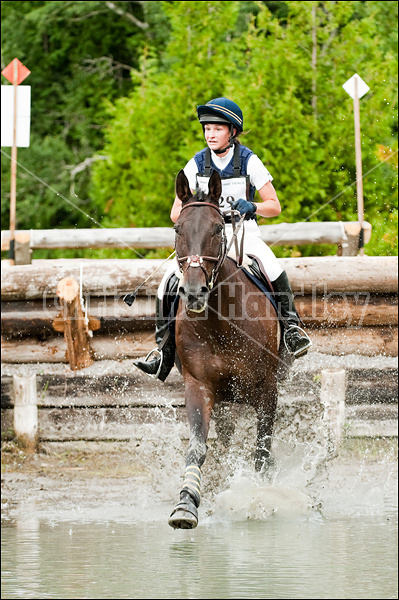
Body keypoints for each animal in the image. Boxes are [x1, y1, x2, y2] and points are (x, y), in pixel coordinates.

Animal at [168, 169, 282, 528]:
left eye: (218, 229)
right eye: (178, 229)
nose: (193, 293)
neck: (221, 320)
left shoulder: (267, 388)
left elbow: (262, 449)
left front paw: (259, 498)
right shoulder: (199, 386)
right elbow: (197, 447)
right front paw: (186, 503)